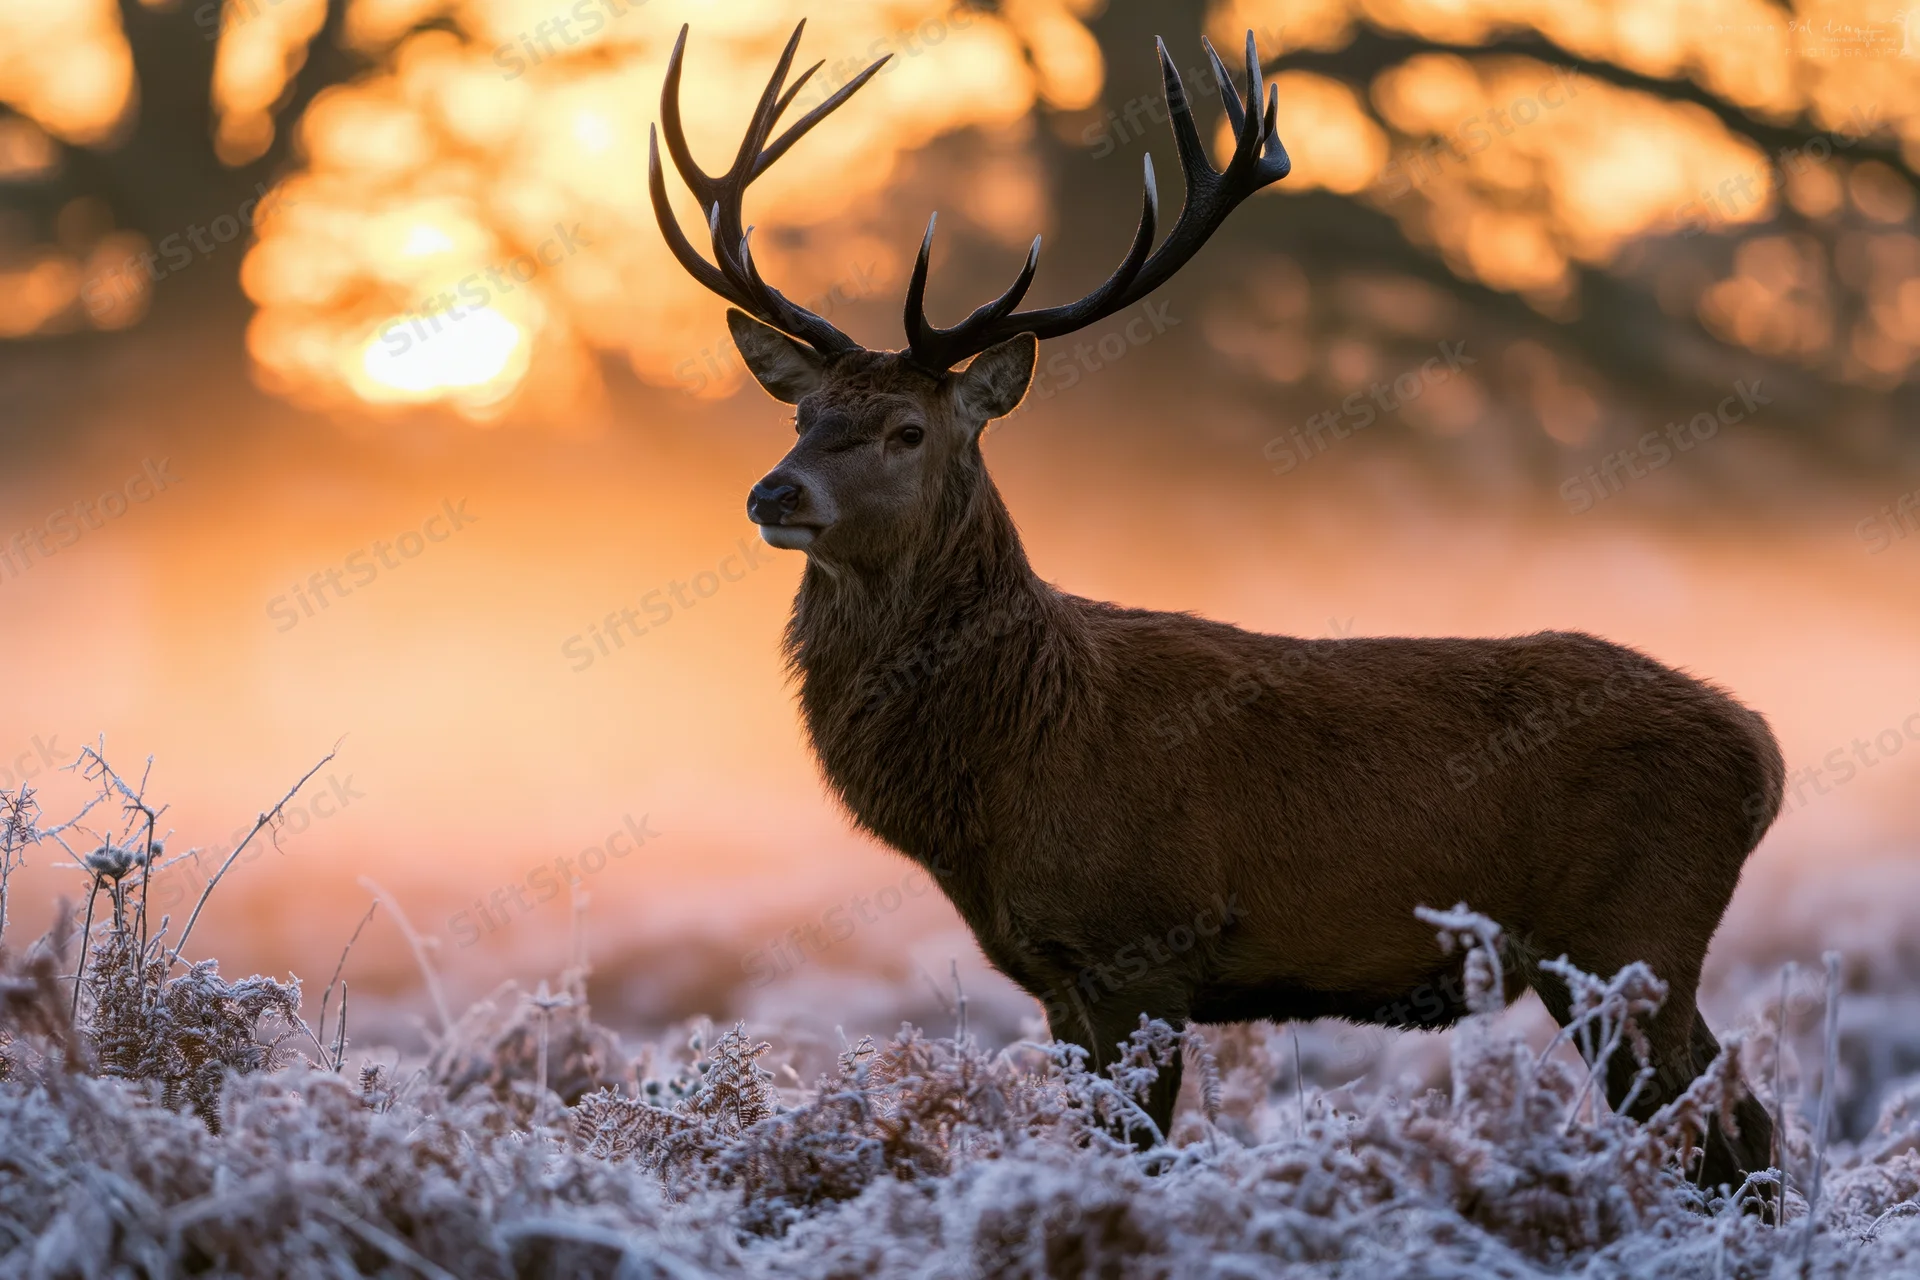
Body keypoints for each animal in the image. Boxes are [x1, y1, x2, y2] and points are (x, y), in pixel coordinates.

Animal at [650, 20, 1786, 1197]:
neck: (1006, 767)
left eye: (907, 431)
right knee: (1746, 1126)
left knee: (1714, 1131)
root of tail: (1765, 752)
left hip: (1631, 932)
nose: (775, 494)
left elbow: (1140, 1154)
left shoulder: (1145, 942)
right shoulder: (1057, 974)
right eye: (804, 415)